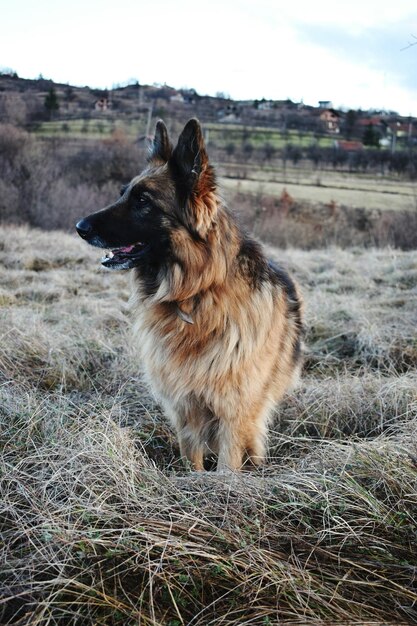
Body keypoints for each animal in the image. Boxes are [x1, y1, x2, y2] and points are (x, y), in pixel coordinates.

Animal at [75, 118, 302, 468]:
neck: (195, 294)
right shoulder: (185, 408)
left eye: (143, 201)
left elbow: (227, 466)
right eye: (124, 194)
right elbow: (191, 459)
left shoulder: (233, 414)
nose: (79, 227)